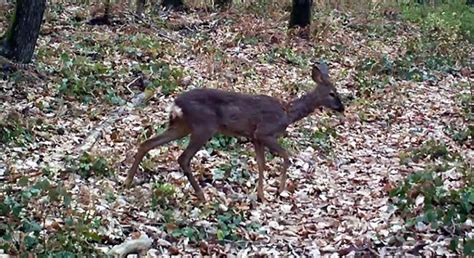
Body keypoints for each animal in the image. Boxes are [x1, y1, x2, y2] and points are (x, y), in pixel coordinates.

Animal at [123, 61, 344, 203]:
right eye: (332, 93)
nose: (342, 108)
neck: (287, 113)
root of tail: (175, 104)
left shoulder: (255, 138)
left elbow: (261, 164)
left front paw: (262, 195)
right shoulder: (265, 132)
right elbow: (286, 155)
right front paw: (280, 190)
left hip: (181, 126)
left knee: (147, 143)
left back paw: (127, 181)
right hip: (204, 127)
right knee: (183, 158)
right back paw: (202, 196)